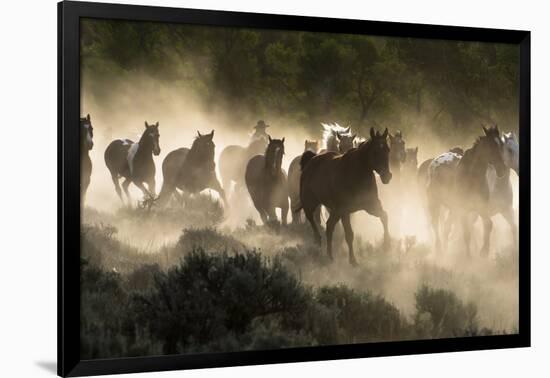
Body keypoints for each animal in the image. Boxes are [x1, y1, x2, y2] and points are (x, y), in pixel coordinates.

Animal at [300, 127, 394, 266]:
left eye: (387, 149)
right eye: (375, 151)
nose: (387, 176)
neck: (357, 174)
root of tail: (311, 160)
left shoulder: (371, 206)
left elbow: (384, 216)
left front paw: (387, 245)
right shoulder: (345, 211)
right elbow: (349, 234)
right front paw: (353, 260)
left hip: (335, 211)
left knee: (329, 226)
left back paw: (330, 255)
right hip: (311, 203)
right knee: (312, 218)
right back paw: (318, 241)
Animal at [430, 127, 512, 256]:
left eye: (501, 145)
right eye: (491, 146)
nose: (502, 169)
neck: (471, 177)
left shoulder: (481, 207)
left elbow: (488, 225)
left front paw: (484, 251)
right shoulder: (464, 210)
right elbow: (466, 232)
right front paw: (469, 257)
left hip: (453, 209)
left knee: (446, 228)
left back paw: (445, 249)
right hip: (435, 202)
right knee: (436, 224)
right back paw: (439, 250)